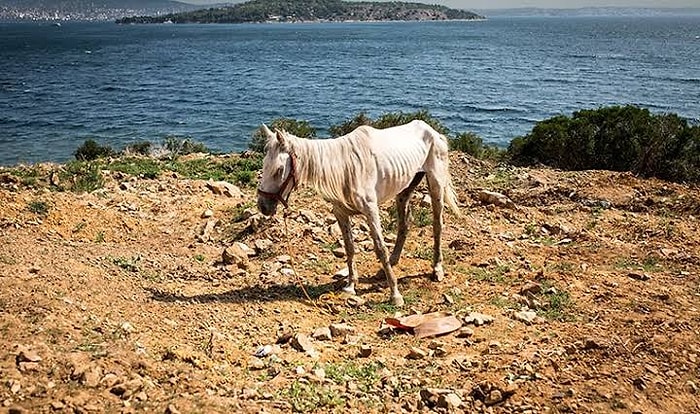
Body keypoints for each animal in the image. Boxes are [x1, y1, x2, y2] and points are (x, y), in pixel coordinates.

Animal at [258, 119, 460, 308]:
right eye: (264, 165)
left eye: (279, 170)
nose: (263, 206)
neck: (345, 168)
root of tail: (432, 131)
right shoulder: (340, 213)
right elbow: (349, 247)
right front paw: (350, 285)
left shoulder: (371, 211)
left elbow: (380, 248)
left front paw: (395, 295)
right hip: (405, 189)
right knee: (404, 224)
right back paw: (391, 264)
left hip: (436, 184)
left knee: (437, 225)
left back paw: (437, 269)